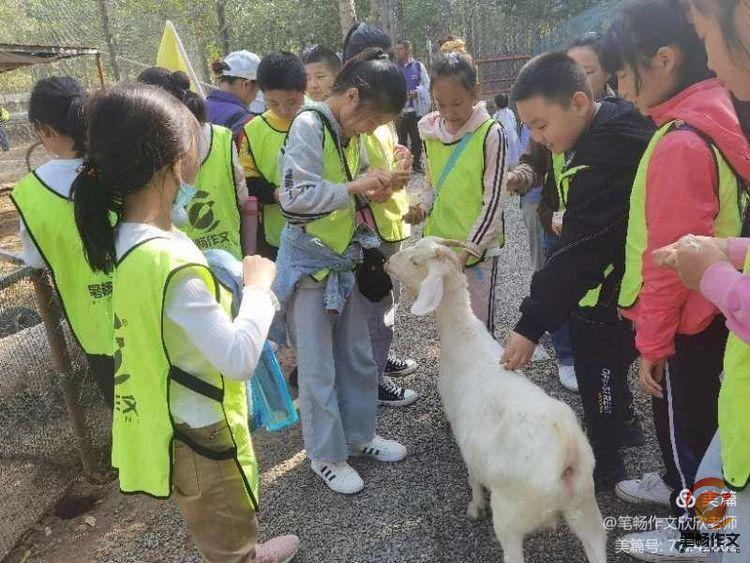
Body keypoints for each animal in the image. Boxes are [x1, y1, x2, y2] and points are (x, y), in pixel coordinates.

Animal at [384, 238, 608, 563]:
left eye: (415, 261)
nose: (387, 262)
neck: (463, 339)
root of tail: (566, 454)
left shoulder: (465, 438)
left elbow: (474, 478)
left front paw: (475, 507)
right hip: (585, 505)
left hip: (511, 514)